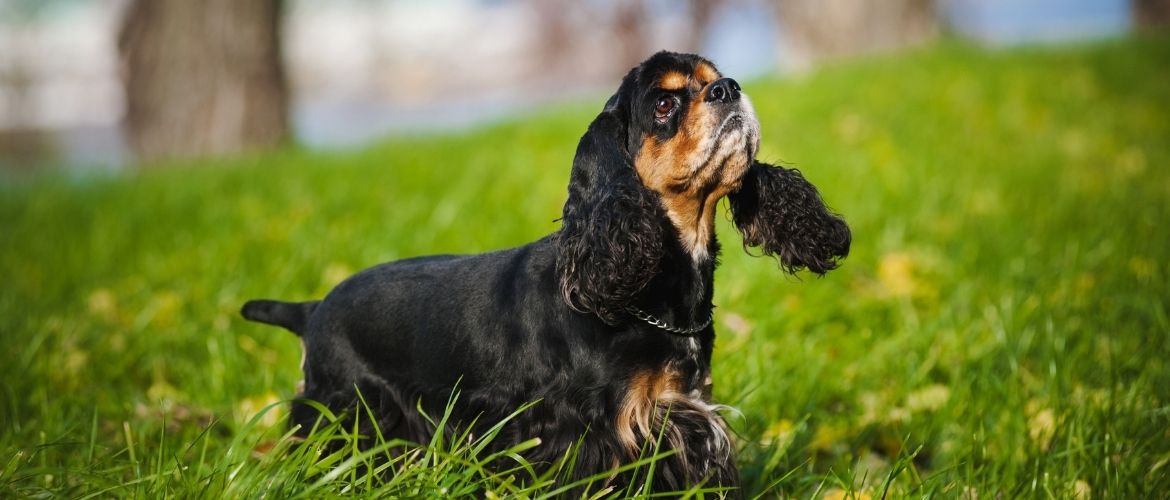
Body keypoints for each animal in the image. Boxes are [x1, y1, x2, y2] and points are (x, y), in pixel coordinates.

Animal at [244, 48, 851, 494]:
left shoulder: (685, 410)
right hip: (346, 412)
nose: (729, 88)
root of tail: (313, 309)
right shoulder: (586, 431)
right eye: (663, 104)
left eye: (713, 79)